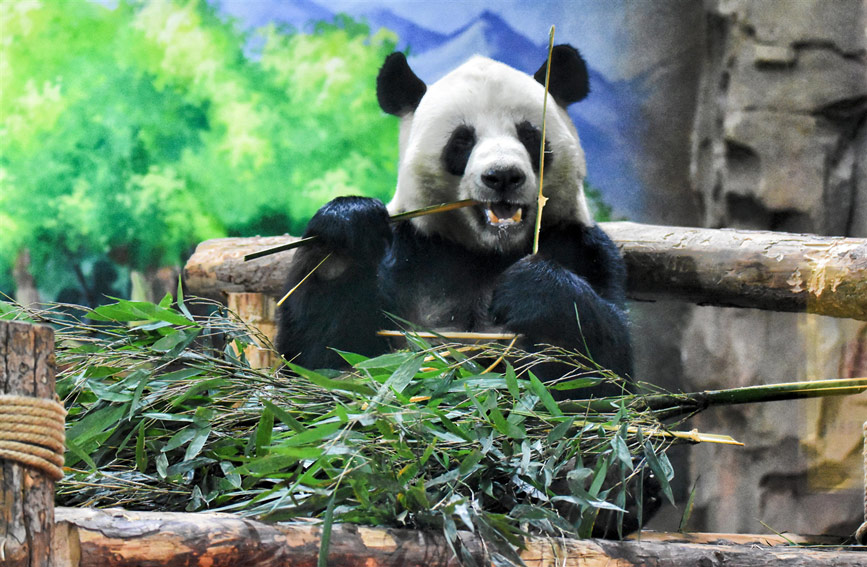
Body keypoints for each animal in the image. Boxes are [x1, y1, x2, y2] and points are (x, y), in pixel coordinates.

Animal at [276, 45, 633, 398]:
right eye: (462, 140)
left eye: (530, 135)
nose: (503, 176)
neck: (486, 250)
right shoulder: (412, 250)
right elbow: (323, 359)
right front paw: (348, 231)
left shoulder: (580, 244)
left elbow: (604, 370)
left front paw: (533, 287)